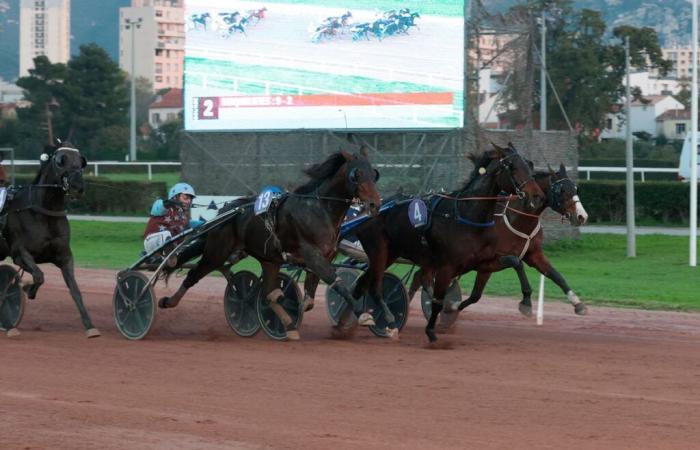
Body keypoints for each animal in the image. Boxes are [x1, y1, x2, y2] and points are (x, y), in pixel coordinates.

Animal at [0, 144, 100, 338]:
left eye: (81, 161)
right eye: (61, 160)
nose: (78, 187)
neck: (42, 212)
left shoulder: (64, 256)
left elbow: (75, 289)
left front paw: (90, 325)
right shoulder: (20, 253)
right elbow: (39, 275)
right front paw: (27, 289)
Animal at [157, 149, 382, 340]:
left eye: (374, 174)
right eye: (356, 175)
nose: (374, 204)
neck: (318, 210)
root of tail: (224, 212)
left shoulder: (322, 259)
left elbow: (308, 301)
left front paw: (296, 318)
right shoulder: (313, 256)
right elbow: (339, 285)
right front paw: (364, 315)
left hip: (268, 259)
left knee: (268, 293)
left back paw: (287, 326)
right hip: (217, 253)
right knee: (193, 275)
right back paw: (167, 301)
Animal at [352, 142, 544, 342]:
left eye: (528, 165)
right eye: (512, 167)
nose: (537, 196)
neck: (467, 216)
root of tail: (369, 210)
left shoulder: (481, 262)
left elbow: (515, 262)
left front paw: (526, 302)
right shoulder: (447, 266)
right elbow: (437, 301)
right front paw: (431, 332)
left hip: (390, 254)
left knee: (361, 285)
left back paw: (360, 316)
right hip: (379, 251)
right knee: (373, 287)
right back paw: (388, 320)